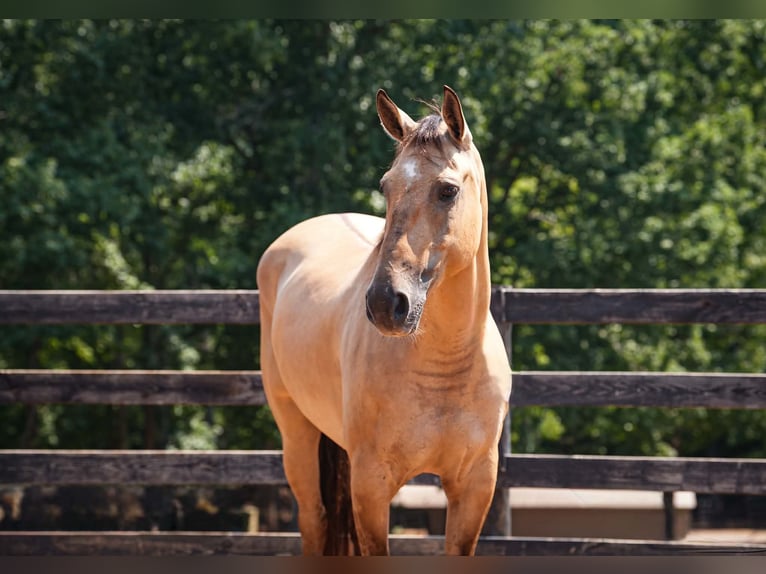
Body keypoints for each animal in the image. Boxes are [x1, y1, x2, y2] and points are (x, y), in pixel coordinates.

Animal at [256, 86, 512, 555]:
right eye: (385, 186)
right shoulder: (372, 484)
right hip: (296, 433)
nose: (383, 303)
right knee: (314, 521)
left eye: (447, 191)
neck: (445, 366)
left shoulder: (475, 486)